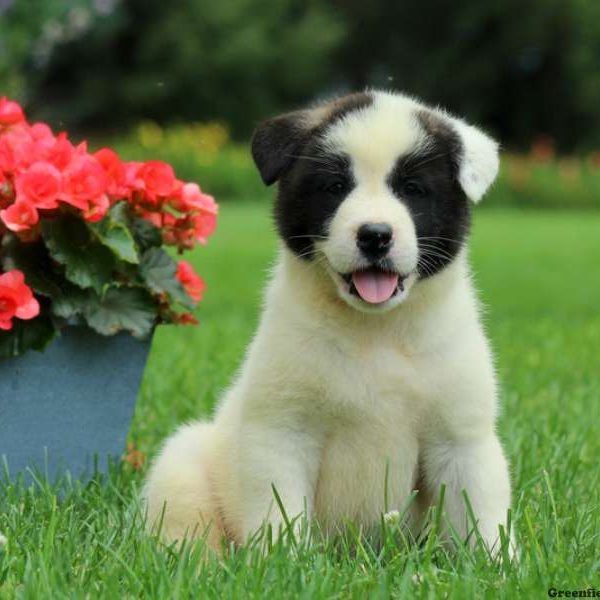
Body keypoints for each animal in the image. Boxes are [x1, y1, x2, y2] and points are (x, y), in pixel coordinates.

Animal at [144, 90, 510, 556]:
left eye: (413, 190)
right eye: (335, 187)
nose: (375, 235)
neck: (376, 332)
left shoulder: (462, 437)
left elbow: (481, 514)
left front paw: (498, 564)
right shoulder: (282, 430)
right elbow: (278, 510)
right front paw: (280, 561)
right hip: (184, 465)